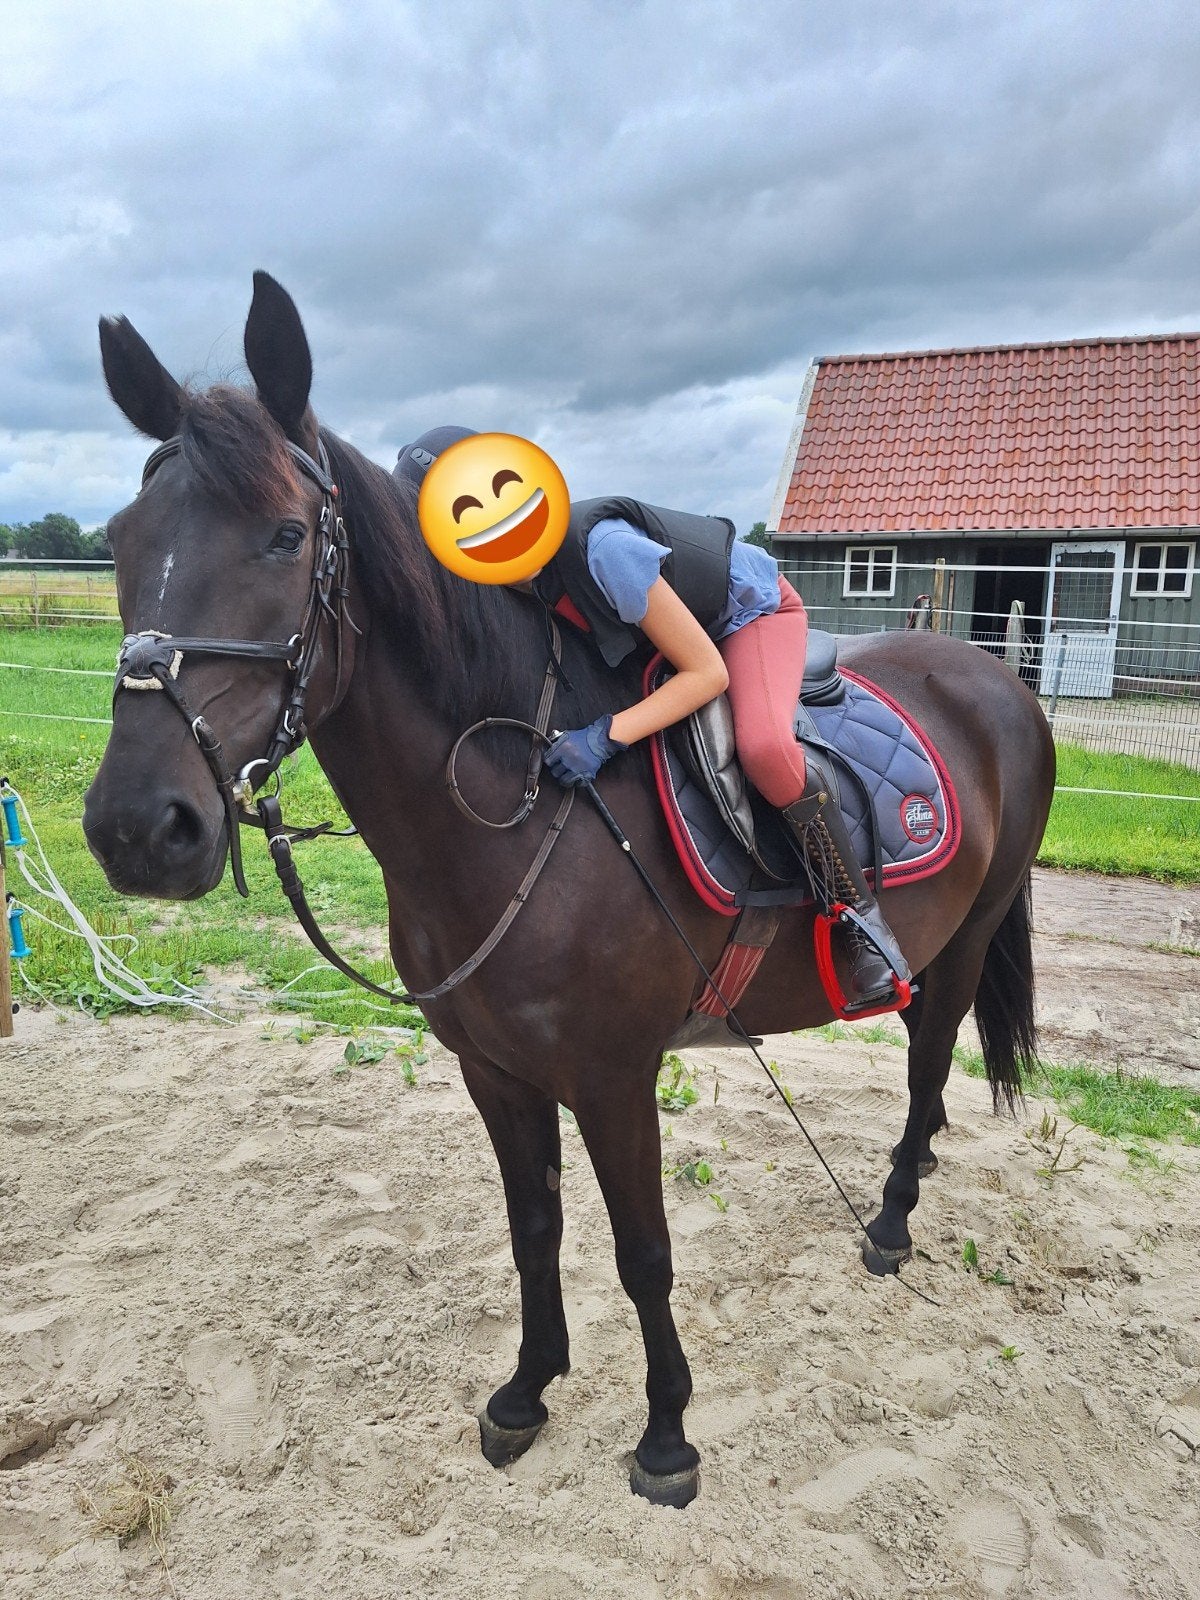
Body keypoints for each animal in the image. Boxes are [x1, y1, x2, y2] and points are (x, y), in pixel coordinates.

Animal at [83, 273, 1056, 1508]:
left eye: (287, 535)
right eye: (122, 539)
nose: (136, 828)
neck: (514, 815)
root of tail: (997, 677)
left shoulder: (613, 1074)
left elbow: (644, 1254)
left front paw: (667, 1435)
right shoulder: (496, 1070)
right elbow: (533, 1229)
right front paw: (526, 1392)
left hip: (965, 935)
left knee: (931, 1057)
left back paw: (890, 1218)